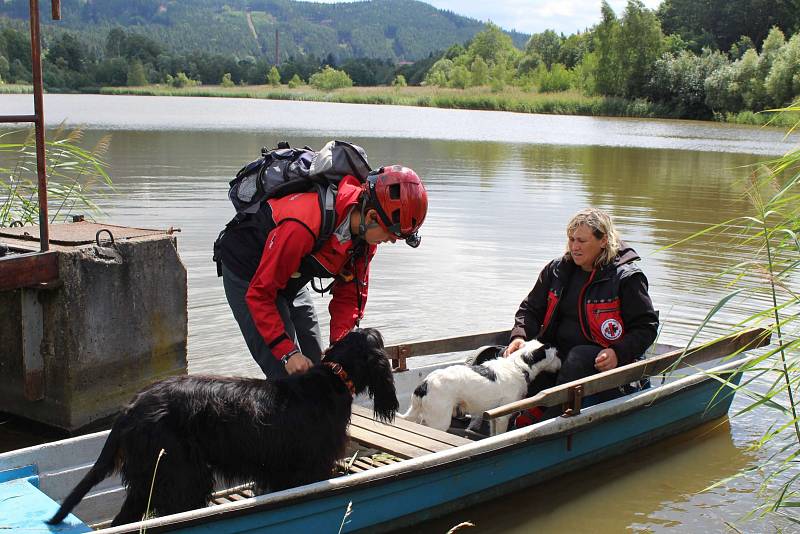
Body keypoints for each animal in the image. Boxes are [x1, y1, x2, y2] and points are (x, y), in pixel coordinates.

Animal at [48, 328, 398, 528]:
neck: (333, 377)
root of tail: (131, 409)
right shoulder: (311, 468)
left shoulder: (282, 472)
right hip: (182, 476)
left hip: (150, 478)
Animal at [398, 344, 560, 436]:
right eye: (557, 354)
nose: (561, 362)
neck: (519, 366)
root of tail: (424, 384)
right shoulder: (503, 416)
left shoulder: (494, 415)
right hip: (439, 420)